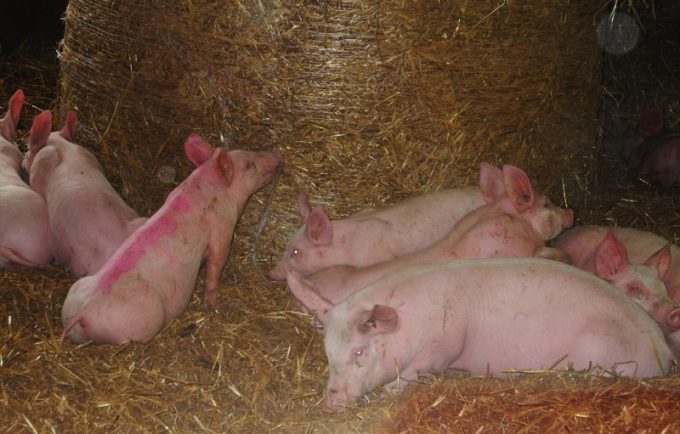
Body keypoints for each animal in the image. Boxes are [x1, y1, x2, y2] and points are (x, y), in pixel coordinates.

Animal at [60, 134, 282, 344]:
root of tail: (84, 311)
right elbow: (214, 270)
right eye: (248, 165)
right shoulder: (222, 233)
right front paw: (211, 305)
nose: (276, 153)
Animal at [287, 258, 674, 412]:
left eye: (359, 352)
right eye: (328, 354)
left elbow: (411, 376)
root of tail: (664, 352)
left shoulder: (445, 344)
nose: (332, 403)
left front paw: (391, 391)